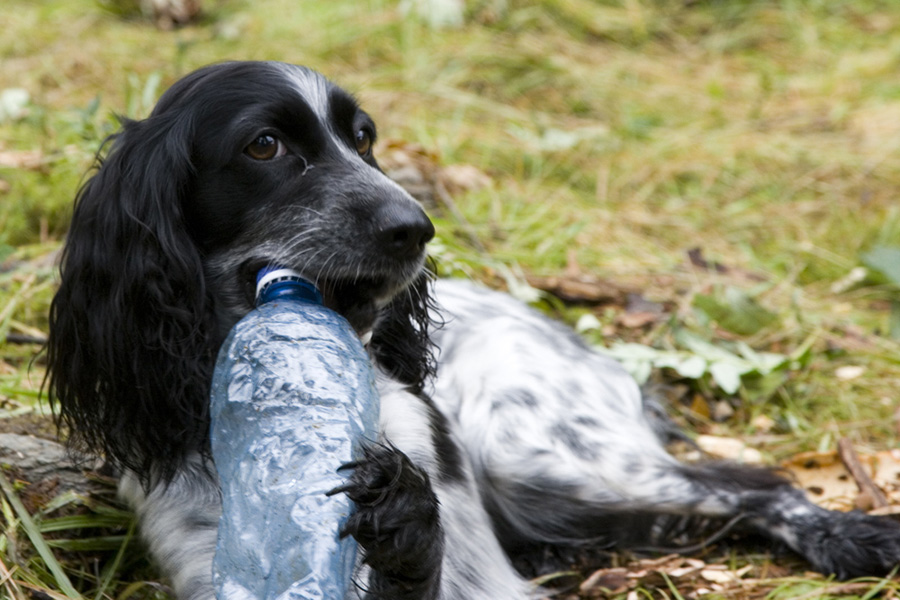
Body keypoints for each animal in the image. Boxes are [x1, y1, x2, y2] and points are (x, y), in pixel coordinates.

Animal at [47, 62, 900, 600]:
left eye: (364, 138)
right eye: (265, 145)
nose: (415, 226)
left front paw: (405, 528)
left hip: (536, 452)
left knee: (756, 484)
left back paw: (857, 539)